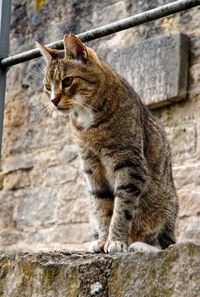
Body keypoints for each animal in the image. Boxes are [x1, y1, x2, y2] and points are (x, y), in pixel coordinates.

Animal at [36, 34, 179, 252]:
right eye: (47, 87)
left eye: (67, 81)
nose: (53, 100)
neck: (87, 119)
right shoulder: (91, 167)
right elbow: (102, 205)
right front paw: (104, 240)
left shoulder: (129, 163)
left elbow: (122, 207)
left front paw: (116, 241)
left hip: (165, 205)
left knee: (164, 244)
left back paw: (138, 245)